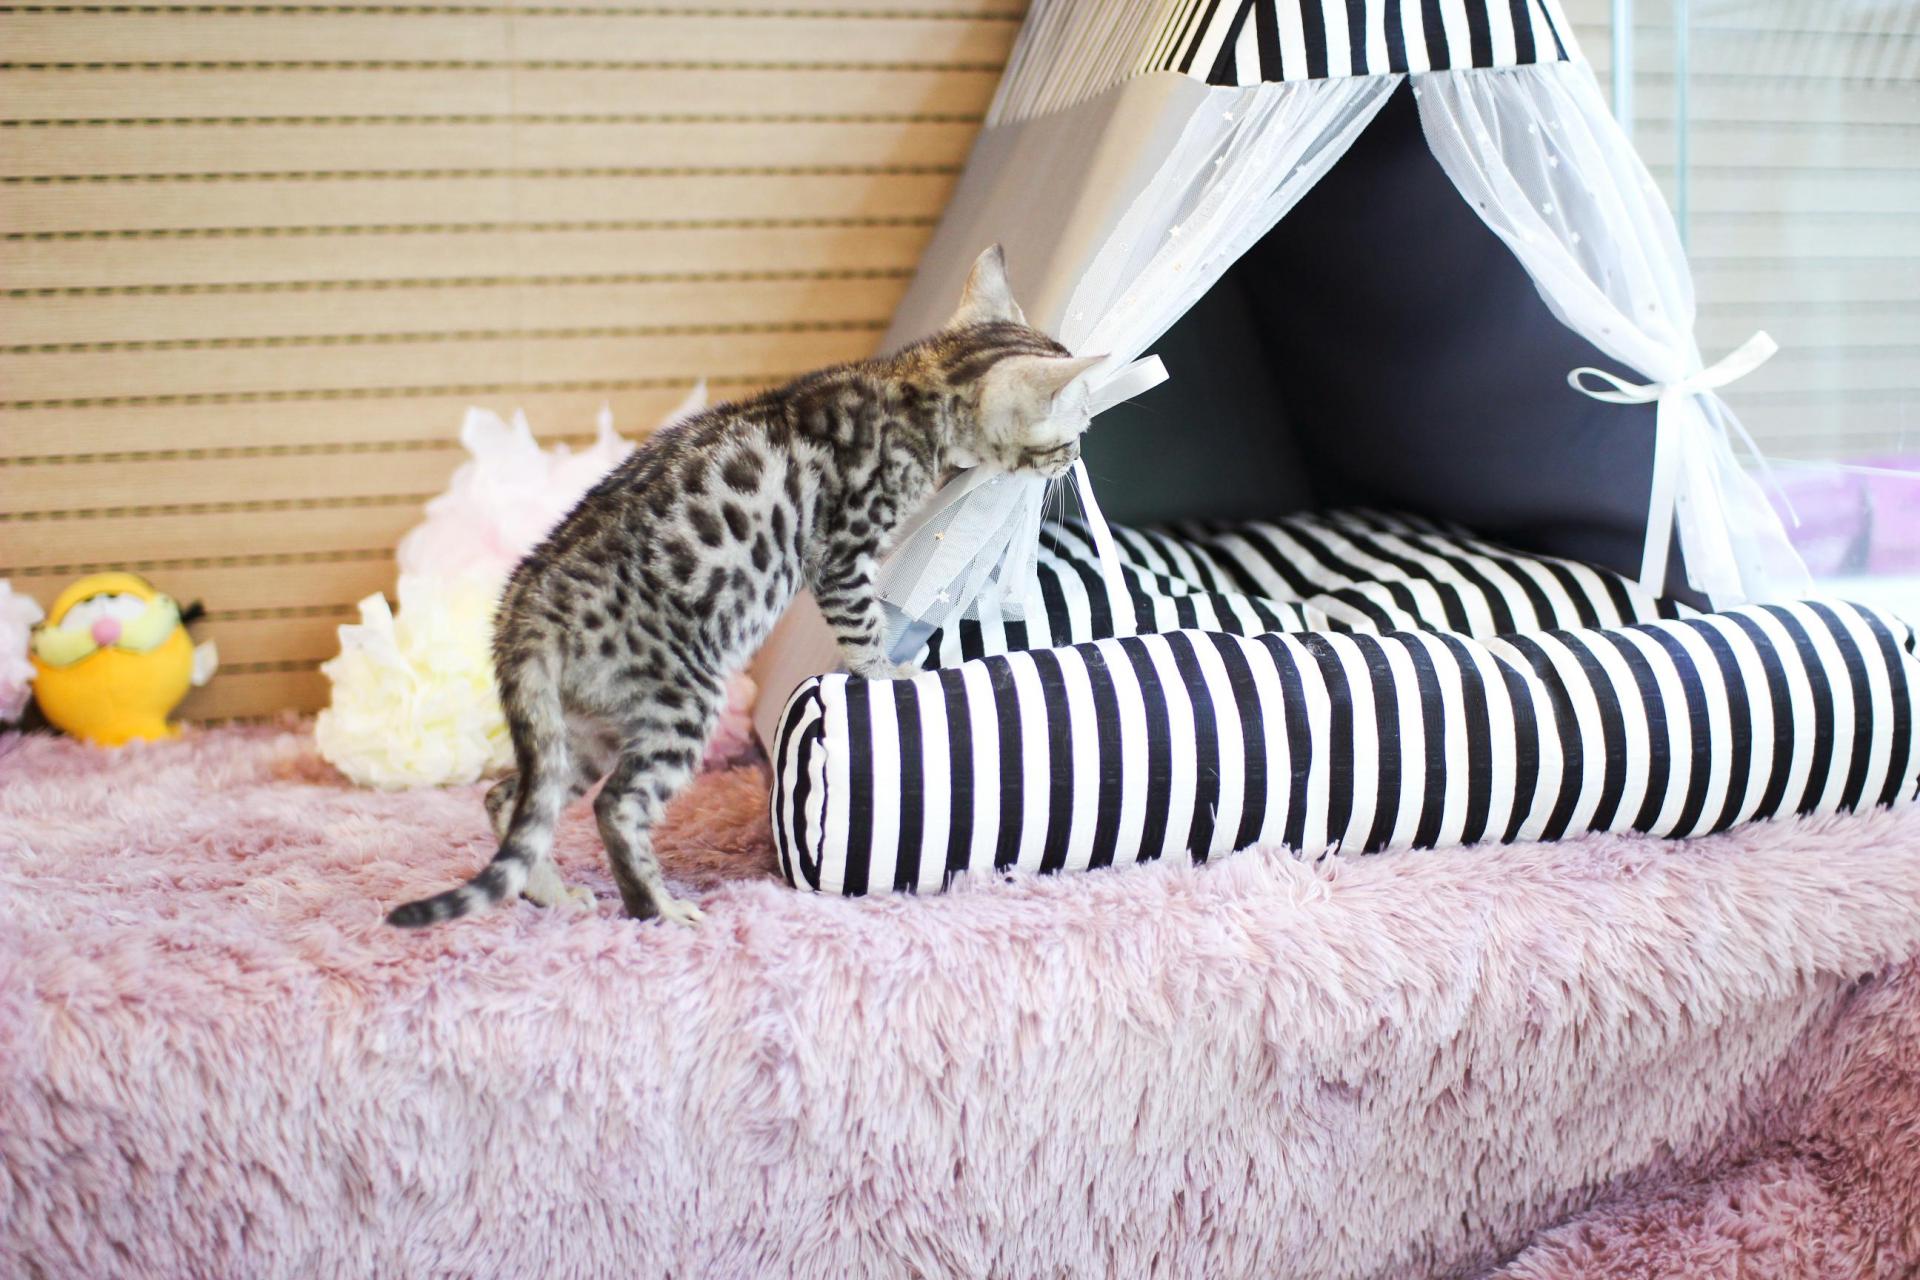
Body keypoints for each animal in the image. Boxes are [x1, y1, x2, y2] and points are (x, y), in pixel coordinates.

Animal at [387, 245, 1104, 927]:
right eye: (1072, 431)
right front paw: (887, 674)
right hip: (683, 696)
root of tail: (524, 606)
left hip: (583, 725)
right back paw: (656, 908)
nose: (1080, 452)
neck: (912, 385)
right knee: (617, 805)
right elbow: (865, 630)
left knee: (513, 798)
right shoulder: (843, 557)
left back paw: (551, 894)